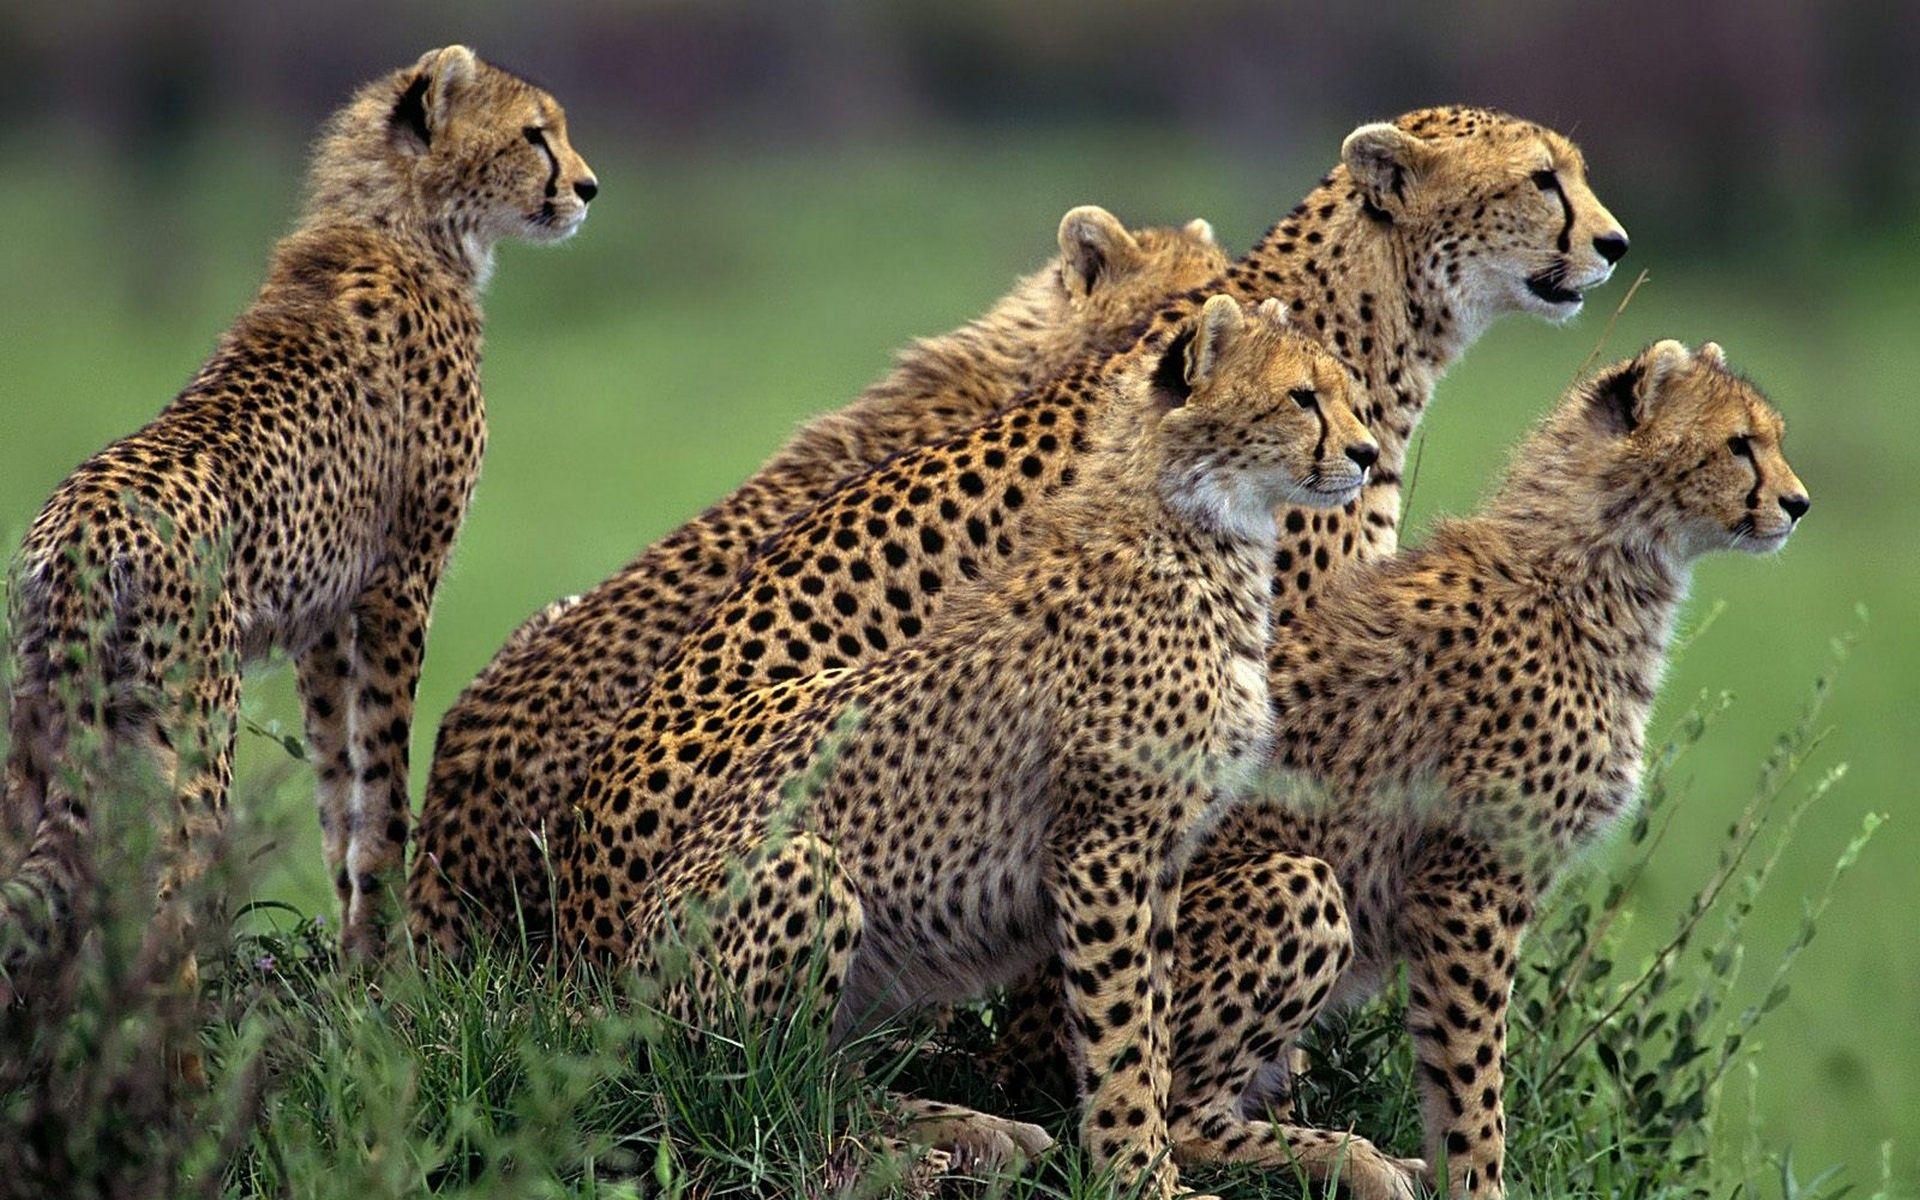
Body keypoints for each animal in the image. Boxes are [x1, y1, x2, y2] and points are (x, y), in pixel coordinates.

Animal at [0, 46, 597, 973]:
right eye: (536, 134)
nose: (587, 186)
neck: (403, 226)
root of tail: (82, 524)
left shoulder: (324, 617)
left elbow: (335, 786)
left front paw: (355, 949)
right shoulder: (400, 583)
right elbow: (382, 780)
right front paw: (388, 962)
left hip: (45, 725)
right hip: (190, 725)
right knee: (167, 899)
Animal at [555, 295, 1380, 1197]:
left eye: (1346, 391)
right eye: (1303, 397)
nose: (1368, 453)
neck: (1197, 529)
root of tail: (615, 985)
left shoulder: (1159, 859)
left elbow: (1152, 1024)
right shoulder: (1105, 849)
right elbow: (1124, 1033)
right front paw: (1138, 1176)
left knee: (826, 1074)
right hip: (803, 874)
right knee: (757, 1087)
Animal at [1009, 340, 1811, 1199]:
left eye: (1770, 439)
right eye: (1739, 445)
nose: (1798, 503)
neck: (1599, 563)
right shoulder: (1469, 886)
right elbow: (1474, 1082)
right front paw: (1479, 1183)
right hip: (1294, 889)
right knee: (1177, 1112)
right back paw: (1353, 1159)